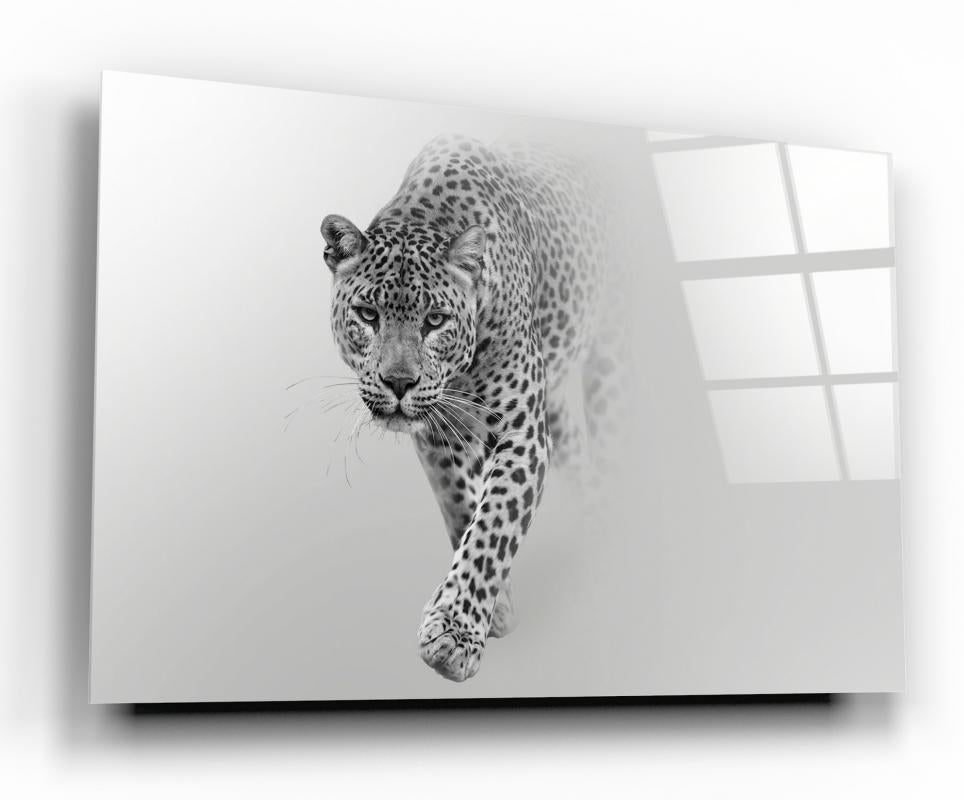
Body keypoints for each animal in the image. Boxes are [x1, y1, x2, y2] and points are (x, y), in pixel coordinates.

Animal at [321, 134, 620, 682]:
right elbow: (462, 509)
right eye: (368, 315)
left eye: (435, 320)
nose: (399, 383)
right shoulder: (439, 437)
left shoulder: (523, 435)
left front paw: (455, 635)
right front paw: (494, 609)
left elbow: (494, 523)